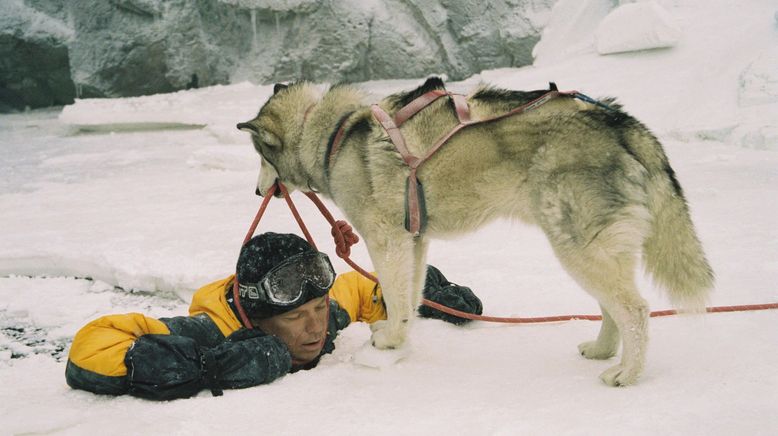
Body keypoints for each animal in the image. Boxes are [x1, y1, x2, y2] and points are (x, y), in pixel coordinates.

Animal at [236, 77, 708, 384]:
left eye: (259, 155)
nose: (256, 189)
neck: (334, 133)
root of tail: (622, 123)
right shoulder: (415, 239)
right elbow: (409, 298)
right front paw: (400, 337)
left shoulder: (386, 239)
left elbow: (395, 295)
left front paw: (388, 342)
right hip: (586, 249)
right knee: (613, 307)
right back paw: (602, 350)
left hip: (578, 247)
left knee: (635, 311)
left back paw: (627, 372)